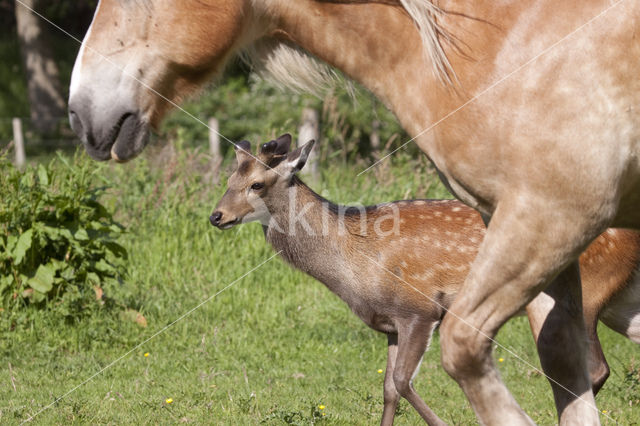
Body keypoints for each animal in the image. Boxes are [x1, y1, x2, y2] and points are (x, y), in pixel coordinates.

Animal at [210, 134, 640, 426]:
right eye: (229, 179)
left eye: (257, 184)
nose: (216, 216)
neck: (353, 265)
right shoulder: (389, 322)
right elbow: (387, 388)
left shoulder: (419, 309)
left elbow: (402, 381)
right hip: (621, 304)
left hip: (582, 296)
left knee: (591, 369)